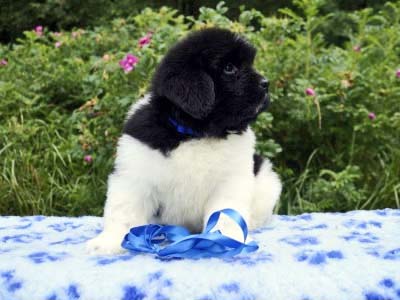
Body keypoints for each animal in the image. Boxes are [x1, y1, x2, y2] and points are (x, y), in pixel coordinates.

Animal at [87, 28, 282, 254]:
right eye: (229, 68)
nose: (266, 83)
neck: (196, 133)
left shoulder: (231, 180)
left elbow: (227, 214)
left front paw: (227, 239)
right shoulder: (134, 174)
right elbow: (124, 212)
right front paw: (109, 242)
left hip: (266, 179)